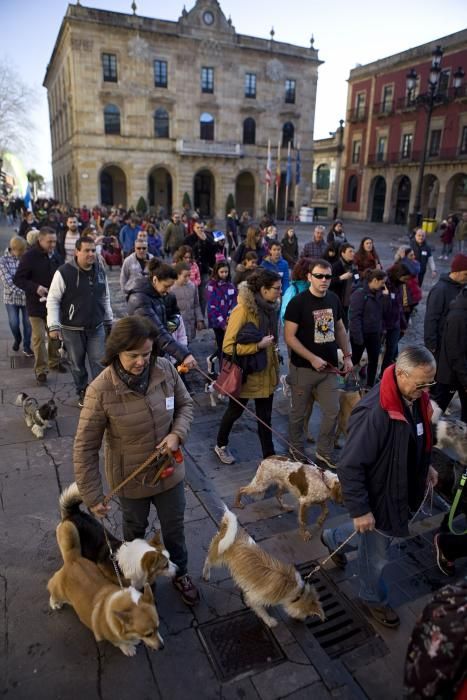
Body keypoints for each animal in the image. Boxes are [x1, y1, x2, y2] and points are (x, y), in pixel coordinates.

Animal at [47, 520, 165, 656]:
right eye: (148, 634)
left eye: (158, 627)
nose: (163, 647)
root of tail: (72, 559)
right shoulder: (111, 637)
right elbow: (119, 643)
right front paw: (128, 648)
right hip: (59, 590)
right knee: (52, 589)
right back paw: (55, 603)